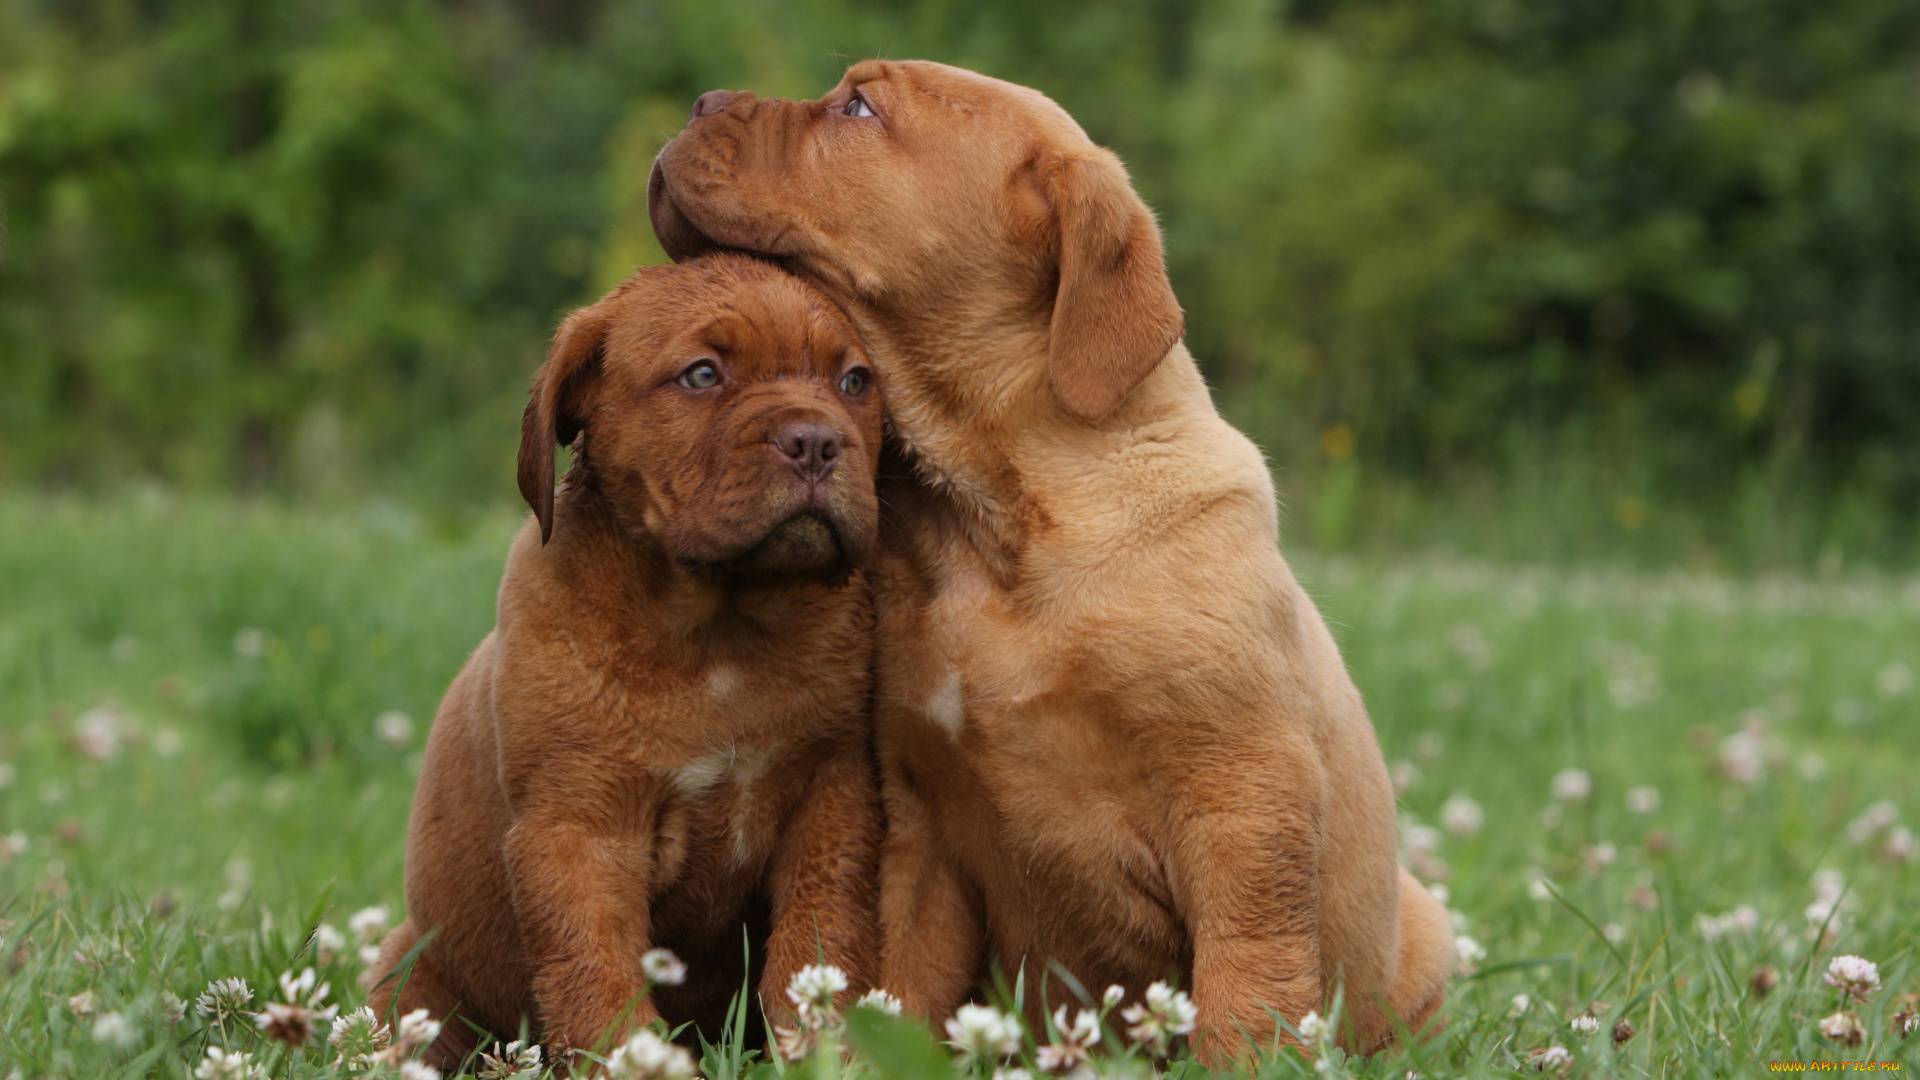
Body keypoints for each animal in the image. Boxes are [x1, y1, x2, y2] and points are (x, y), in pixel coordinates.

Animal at [364, 253, 883, 1068]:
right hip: (414, 979)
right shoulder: (580, 831)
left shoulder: (830, 802)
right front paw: (641, 1065)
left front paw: (821, 1058)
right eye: (702, 375)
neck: (719, 634)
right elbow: (597, 983)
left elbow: (812, 954)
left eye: (855, 382)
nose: (818, 442)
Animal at [648, 61, 1451, 1053]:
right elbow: (906, 984)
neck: (995, 518)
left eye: (859, 107)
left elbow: (1247, 982)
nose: (701, 101)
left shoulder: (1243, 801)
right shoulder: (921, 827)